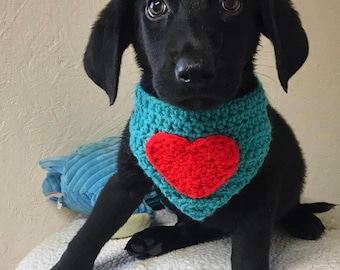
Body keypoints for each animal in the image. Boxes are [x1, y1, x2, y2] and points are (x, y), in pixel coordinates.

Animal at [51, 0, 334, 270]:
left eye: (231, 4)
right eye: (156, 7)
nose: (195, 71)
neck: (195, 121)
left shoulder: (260, 192)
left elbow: (249, 248)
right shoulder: (125, 181)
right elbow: (90, 232)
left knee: (289, 205)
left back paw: (303, 220)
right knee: (196, 228)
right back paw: (156, 240)